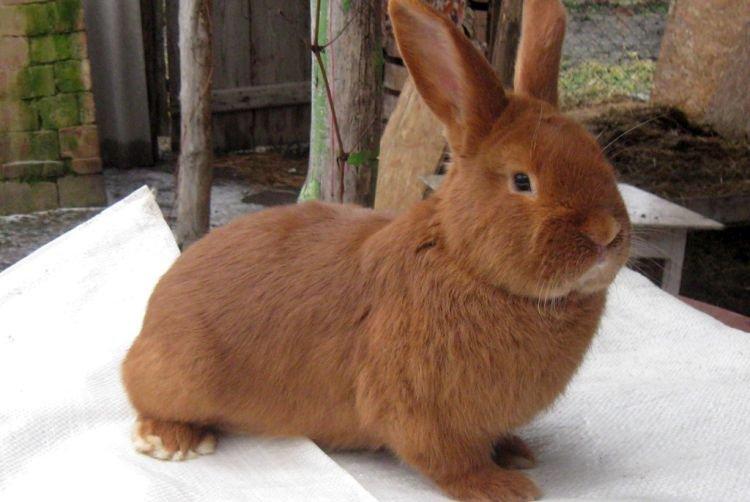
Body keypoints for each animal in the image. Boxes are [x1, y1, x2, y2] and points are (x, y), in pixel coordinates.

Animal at [122, 0, 631, 499]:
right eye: (522, 181)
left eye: (597, 156)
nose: (606, 233)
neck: (465, 261)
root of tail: (149, 320)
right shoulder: (416, 408)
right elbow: (449, 460)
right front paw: (503, 487)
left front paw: (516, 452)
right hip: (182, 374)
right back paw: (172, 441)